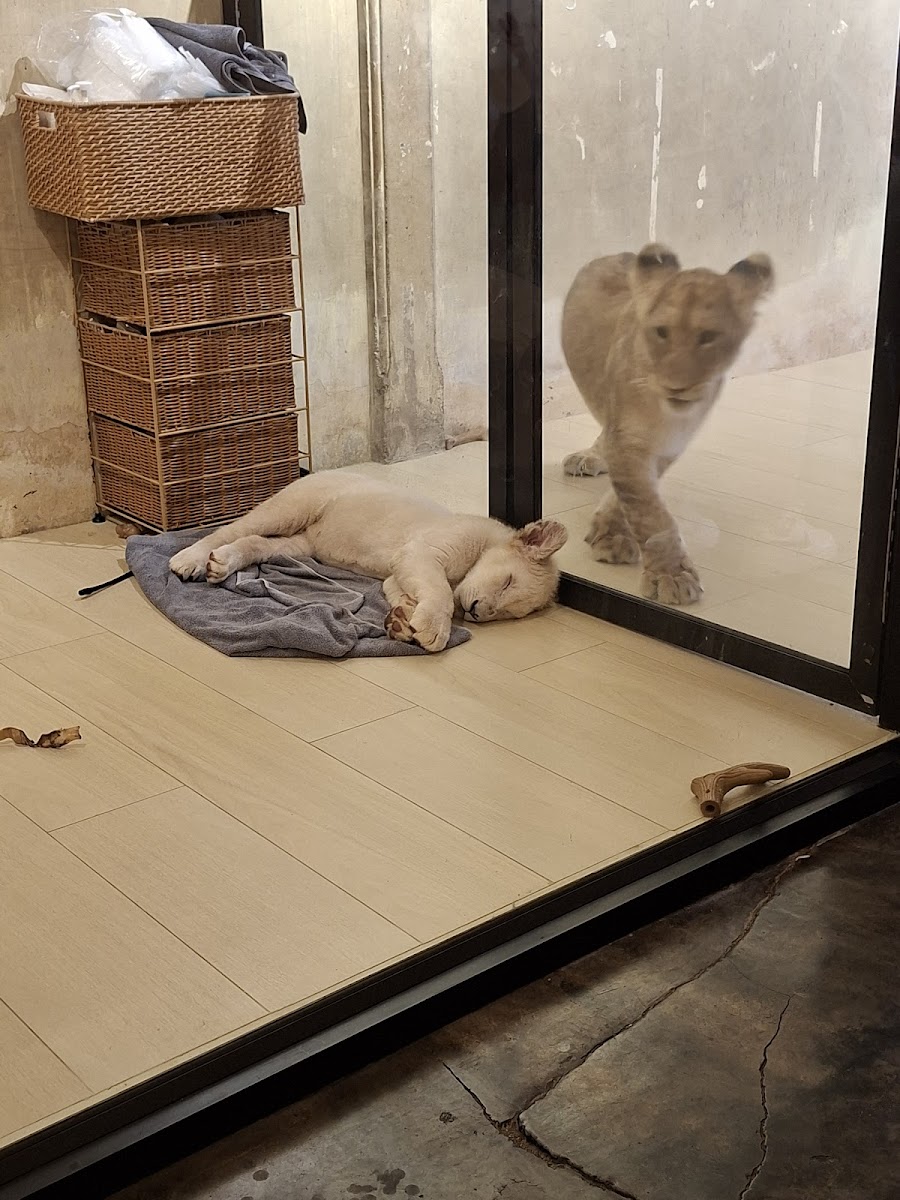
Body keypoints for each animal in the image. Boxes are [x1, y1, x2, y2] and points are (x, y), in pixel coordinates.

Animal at [168, 471, 568, 653]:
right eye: (507, 581)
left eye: (508, 613)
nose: (476, 612)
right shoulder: (422, 553)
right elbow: (437, 592)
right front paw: (434, 630)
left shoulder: (398, 573)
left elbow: (407, 595)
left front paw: (403, 623)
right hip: (289, 508)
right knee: (230, 529)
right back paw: (189, 560)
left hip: (300, 545)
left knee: (253, 543)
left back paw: (221, 564)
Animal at [560, 243, 774, 605]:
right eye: (662, 332)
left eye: (708, 336)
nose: (676, 387)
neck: (663, 412)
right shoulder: (629, 440)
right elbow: (648, 510)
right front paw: (670, 575)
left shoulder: (670, 444)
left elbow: (636, 497)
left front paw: (611, 532)